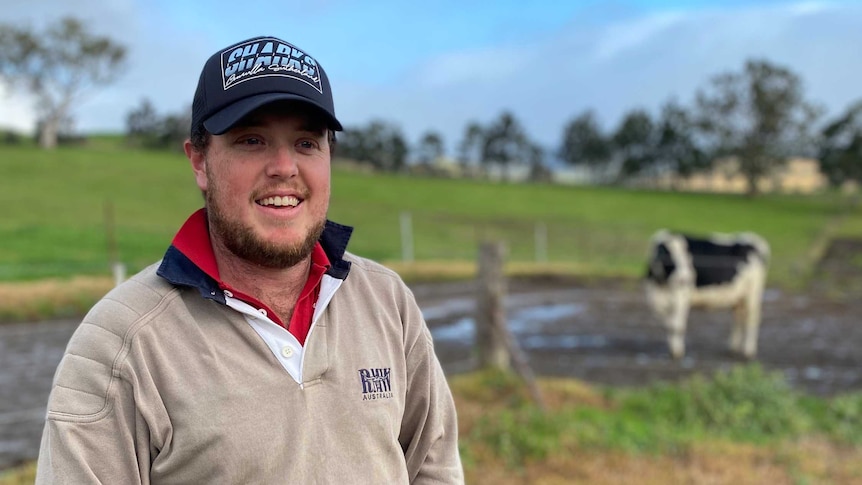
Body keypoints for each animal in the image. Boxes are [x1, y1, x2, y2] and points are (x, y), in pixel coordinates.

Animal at [644, 230, 772, 360]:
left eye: (688, 258)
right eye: (669, 257)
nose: (685, 279)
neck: (661, 286)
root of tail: (752, 237)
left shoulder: (682, 297)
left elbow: (677, 326)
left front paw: (677, 352)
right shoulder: (657, 300)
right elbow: (669, 325)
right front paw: (672, 348)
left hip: (753, 293)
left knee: (752, 319)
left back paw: (748, 352)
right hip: (738, 296)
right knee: (738, 318)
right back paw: (732, 348)